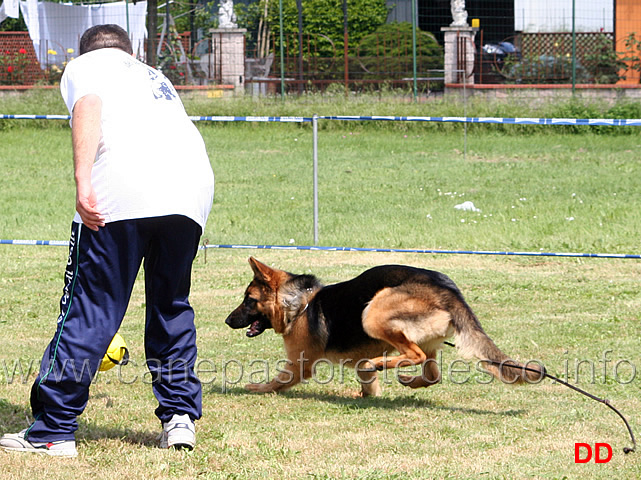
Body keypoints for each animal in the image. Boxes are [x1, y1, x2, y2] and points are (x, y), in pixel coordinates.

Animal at [225, 258, 540, 398]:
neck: (300, 303)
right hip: (426, 340)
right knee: (431, 372)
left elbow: (278, 380)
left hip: (373, 312)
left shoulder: (300, 364)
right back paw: (407, 379)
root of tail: (447, 289)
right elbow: (368, 385)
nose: (227, 321)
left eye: (249, 300)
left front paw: (256, 388)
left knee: (414, 356)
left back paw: (378, 363)